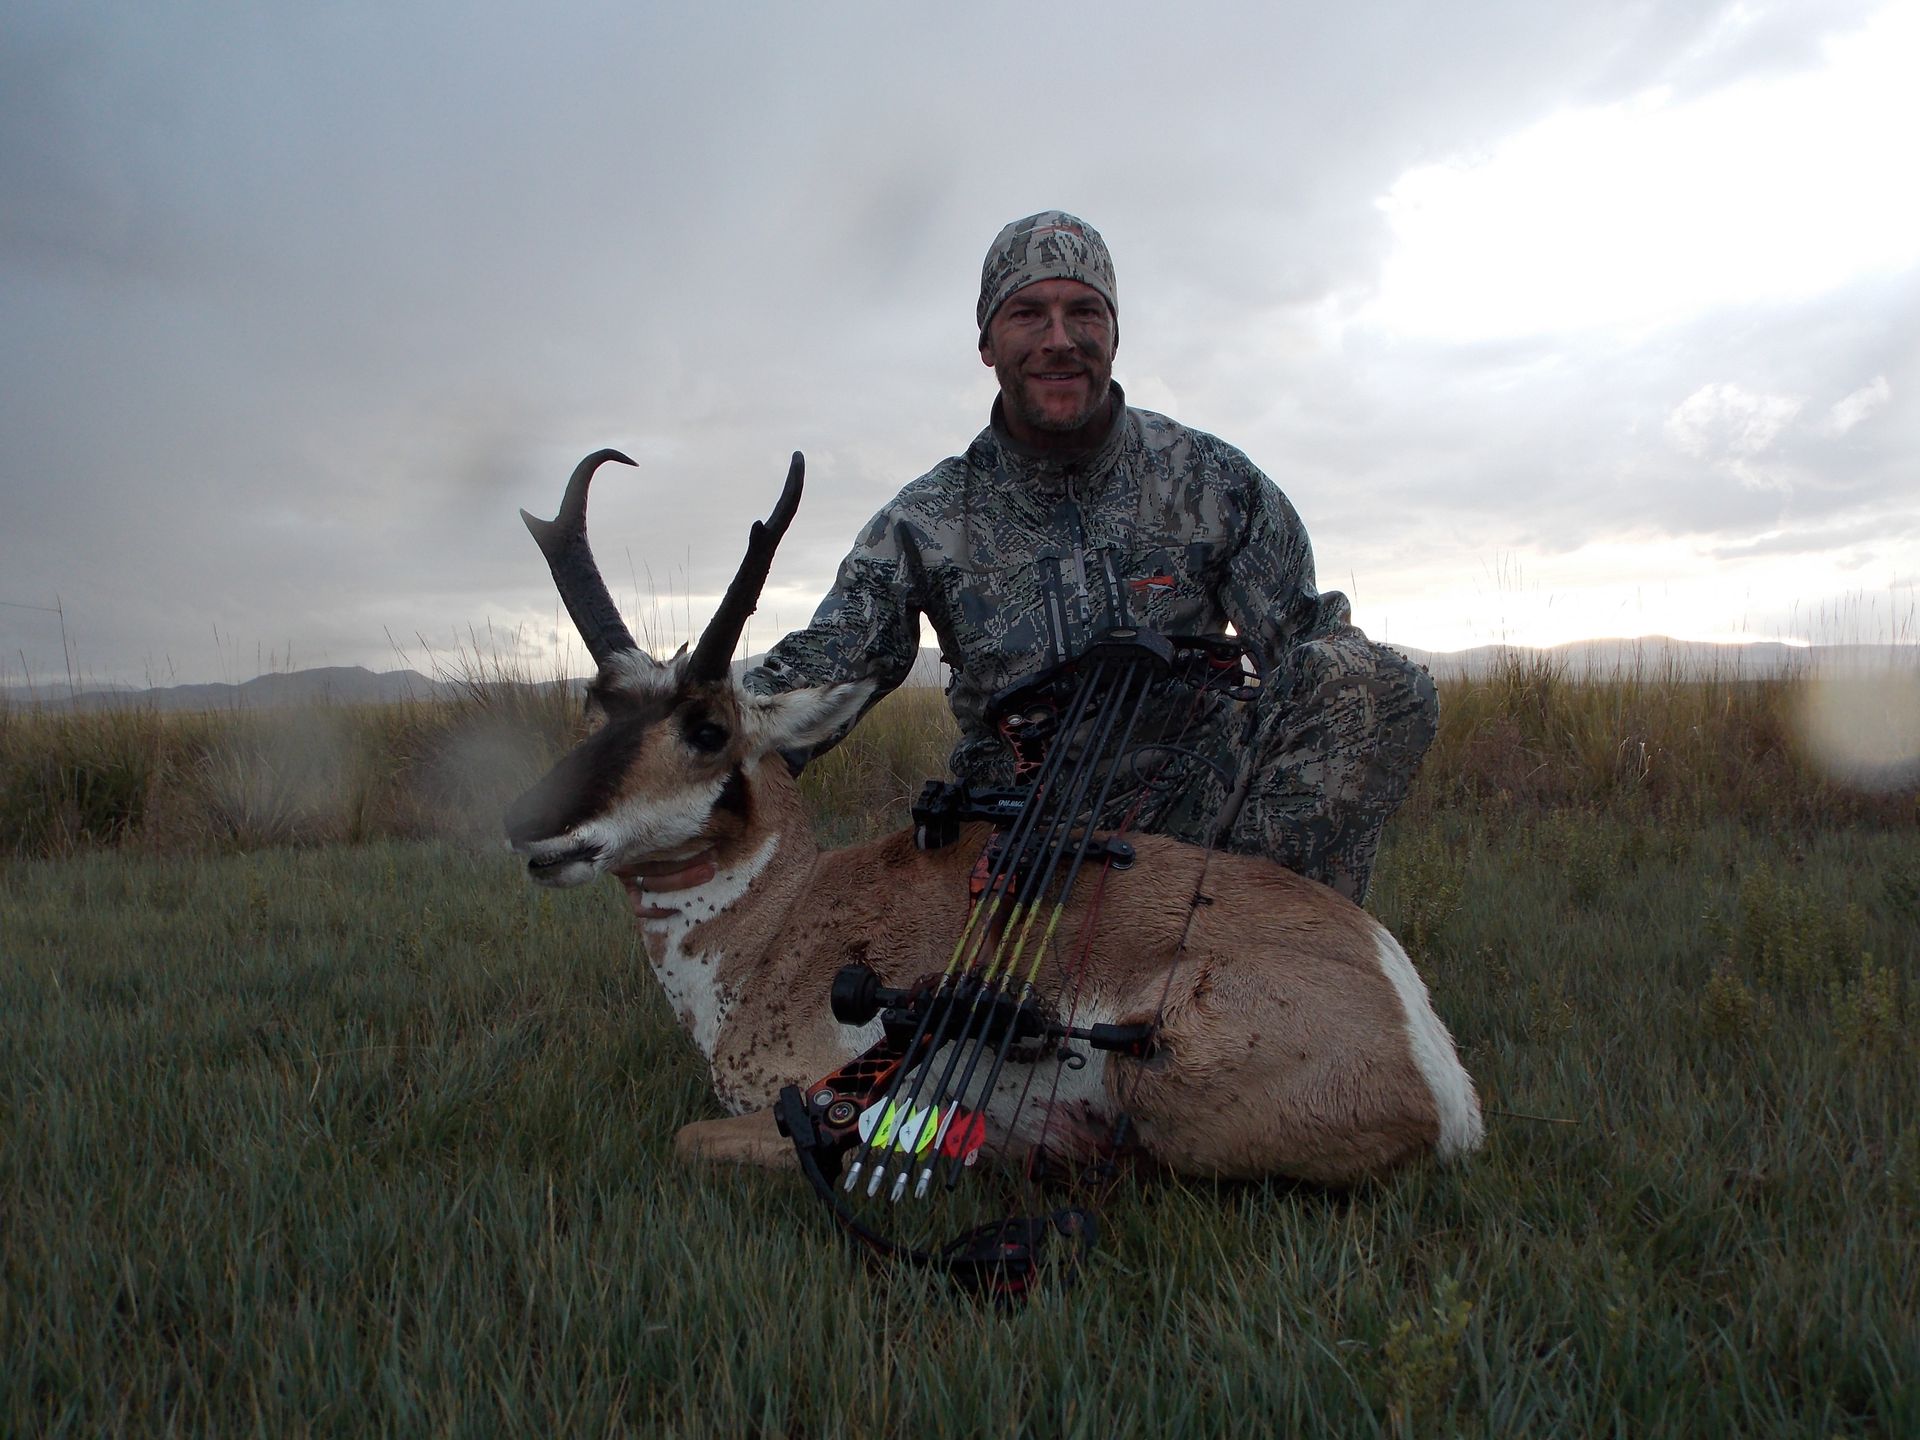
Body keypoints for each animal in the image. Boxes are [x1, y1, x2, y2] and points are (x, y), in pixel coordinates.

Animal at [505, 450, 1483, 1185]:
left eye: (707, 728)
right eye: (597, 707)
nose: (528, 826)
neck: (779, 921)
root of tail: (1424, 1042)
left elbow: (695, 1138)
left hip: (1155, 1078)